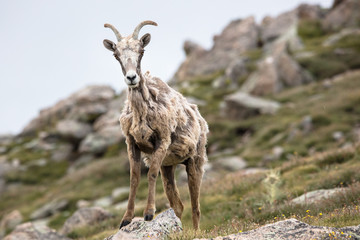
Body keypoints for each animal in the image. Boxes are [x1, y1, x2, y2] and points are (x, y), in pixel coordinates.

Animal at [102, 21, 208, 230]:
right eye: (116, 54)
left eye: (141, 51)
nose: (131, 78)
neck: (143, 113)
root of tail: (200, 119)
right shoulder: (132, 143)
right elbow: (134, 178)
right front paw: (126, 219)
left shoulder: (162, 141)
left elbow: (151, 174)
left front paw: (149, 214)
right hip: (168, 167)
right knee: (178, 205)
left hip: (195, 162)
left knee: (195, 206)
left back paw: (195, 231)